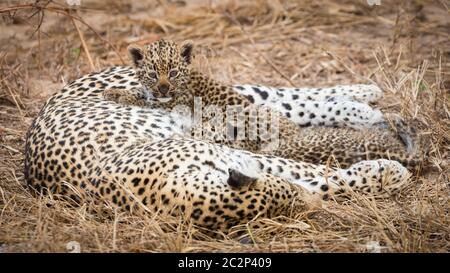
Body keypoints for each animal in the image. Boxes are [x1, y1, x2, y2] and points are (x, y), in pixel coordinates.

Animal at [103, 39, 420, 169]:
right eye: (153, 73)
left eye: (173, 73)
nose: (163, 86)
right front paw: (119, 92)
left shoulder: (175, 104)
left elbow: (147, 101)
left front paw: (118, 94)